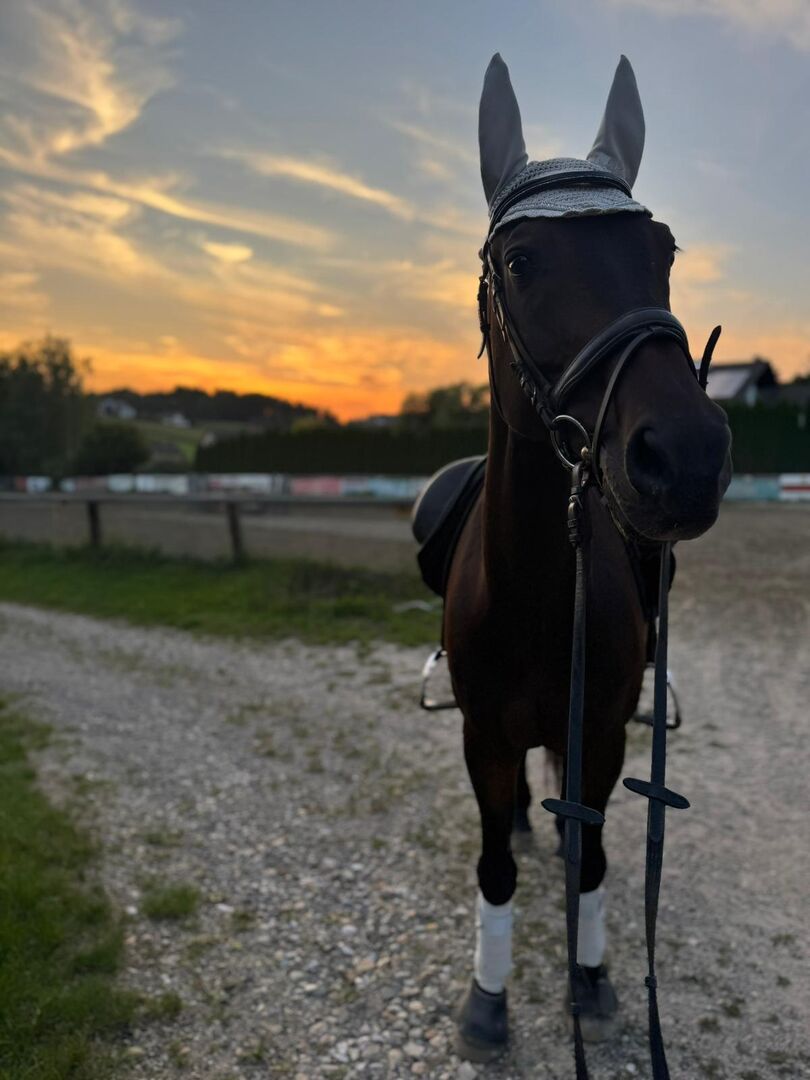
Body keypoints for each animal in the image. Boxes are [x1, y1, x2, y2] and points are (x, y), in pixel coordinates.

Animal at [412, 55, 732, 1073]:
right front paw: (487, 999)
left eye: (661, 249)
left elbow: (592, 857)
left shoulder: (605, 729)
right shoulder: (482, 735)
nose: (687, 457)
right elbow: (492, 865)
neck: (538, 595)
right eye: (521, 262)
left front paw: (589, 980)